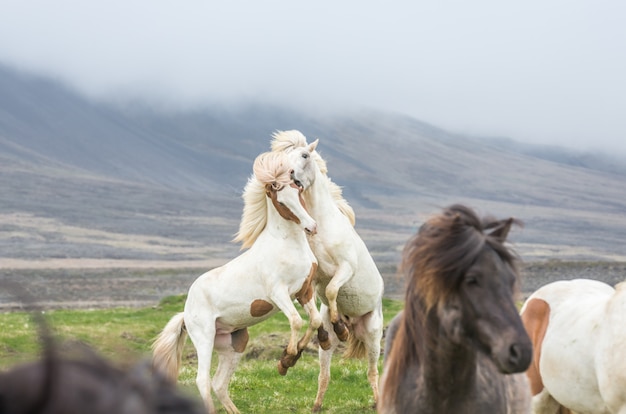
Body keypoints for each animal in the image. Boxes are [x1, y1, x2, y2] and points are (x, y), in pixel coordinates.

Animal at [153, 152, 322, 414]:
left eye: (299, 190)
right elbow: (295, 320)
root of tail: (185, 311)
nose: (311, 227)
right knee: (203, 381)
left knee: (219, 383)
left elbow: (315, 320)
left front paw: (289, 359)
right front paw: (286, 359)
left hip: (234, 344)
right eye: (282, 202)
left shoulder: (304, 292)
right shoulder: (279, 293)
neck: (287, 246)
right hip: (205, 337)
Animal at [270, 131, 382, 412]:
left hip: (373, 335)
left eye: (304, 155)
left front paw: (340, 327)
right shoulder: (312, 279)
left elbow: (332, 289)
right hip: (329, 347)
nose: (287, 176)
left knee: (373, 371)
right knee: (324, 373)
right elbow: (317, 308)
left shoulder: (346, 268)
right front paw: (289, 358)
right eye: (282, 157)